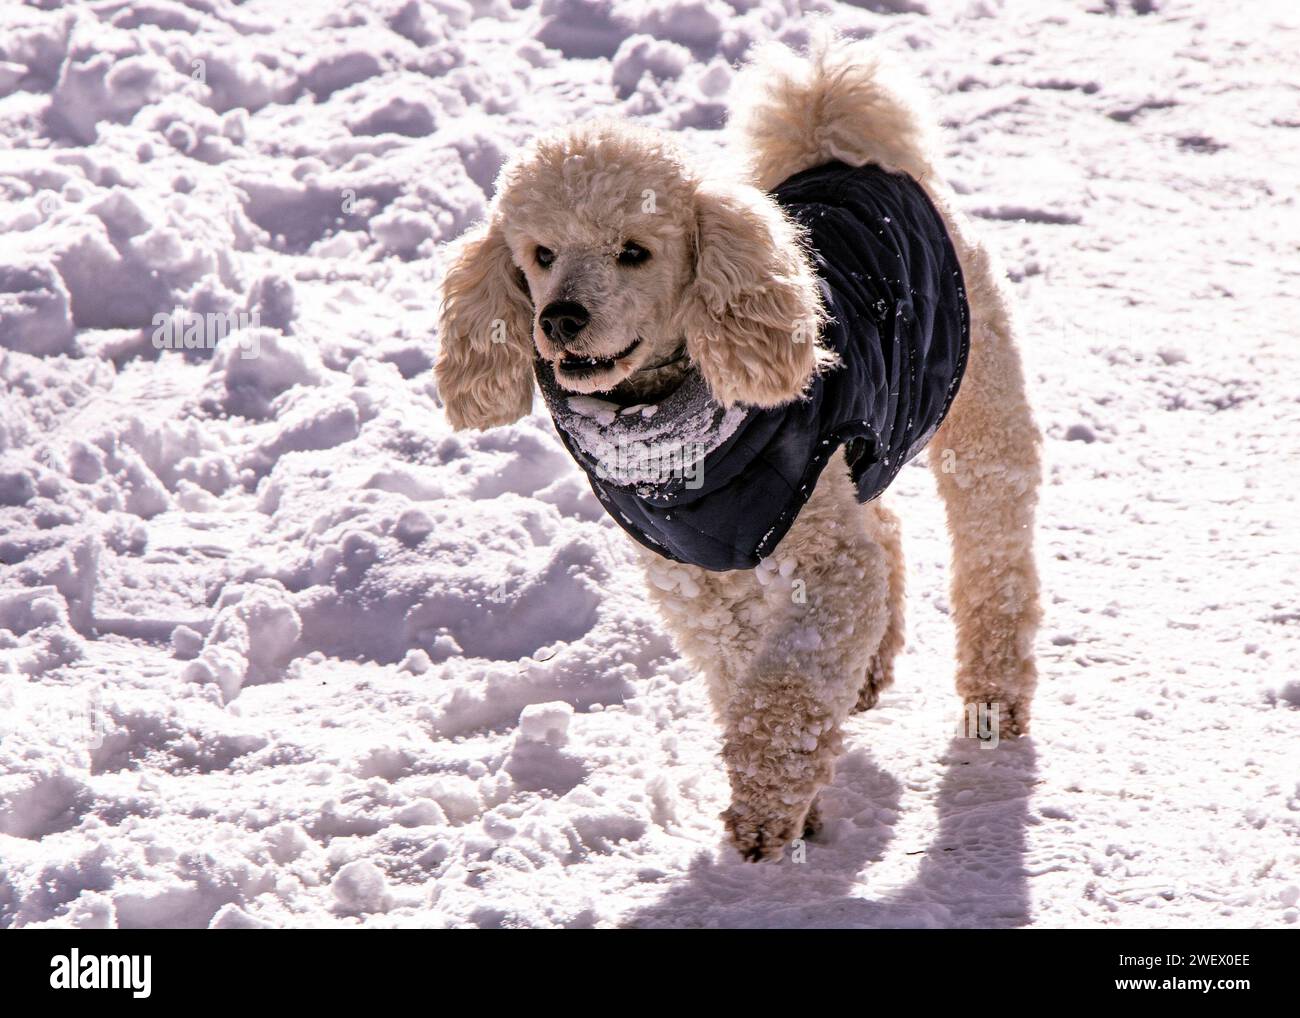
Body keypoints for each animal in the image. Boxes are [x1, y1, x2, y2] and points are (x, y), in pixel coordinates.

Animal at [431, 35, 1040, 858]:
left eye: (635, 252)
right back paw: (870, 670)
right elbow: (744, 670)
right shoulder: (696, 576)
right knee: (883, 530)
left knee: (993, 550)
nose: (559, 318)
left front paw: (767, 813)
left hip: (976, 402)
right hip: (859, 462)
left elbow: (786, 681)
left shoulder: (823, 562)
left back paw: (994, 697)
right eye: (540, 253)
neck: (669, 434)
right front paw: (791, 796)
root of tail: (850, 152)